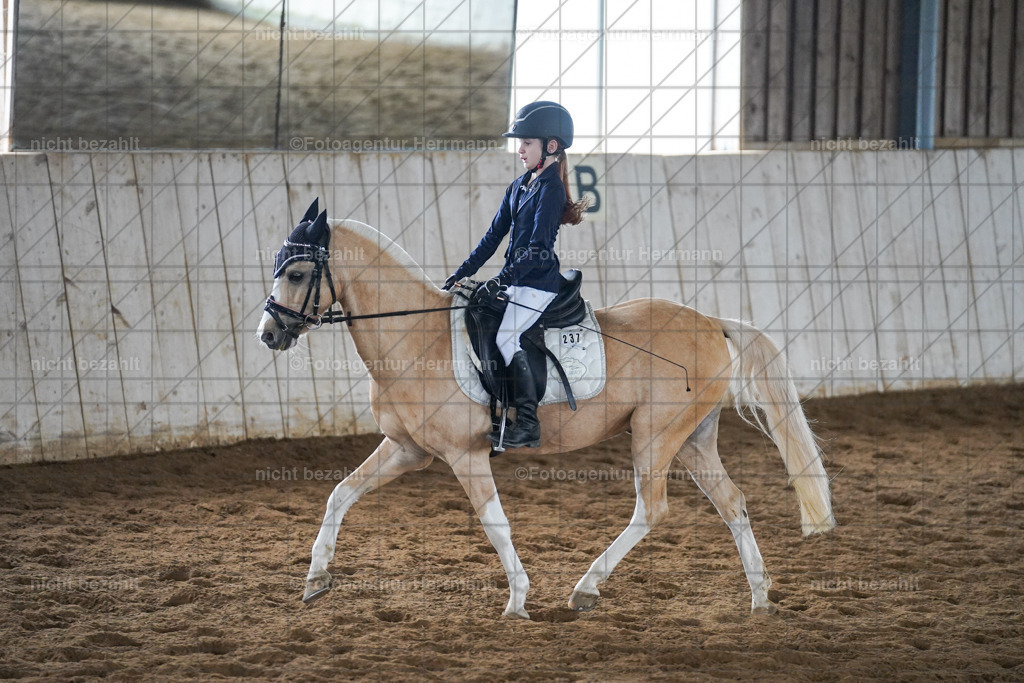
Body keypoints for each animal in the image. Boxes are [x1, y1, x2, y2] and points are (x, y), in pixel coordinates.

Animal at [256, 213, 835, 619]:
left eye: (299, 273)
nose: (269, 333)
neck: (414, 338)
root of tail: (711, 322)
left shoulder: (464, 455)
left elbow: (495, 524)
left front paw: (517, 602)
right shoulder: (408, 450)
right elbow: (340, 493)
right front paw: (316, 579)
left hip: (655, 435)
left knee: (652, 509)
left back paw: (586, 589)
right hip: (693, 439)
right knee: (732, 503)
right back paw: (760, 600)